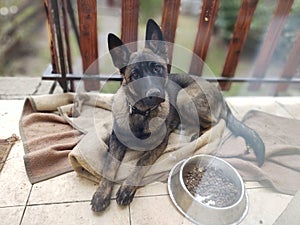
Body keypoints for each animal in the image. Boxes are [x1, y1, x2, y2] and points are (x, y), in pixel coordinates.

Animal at [91, 18, 264, 212]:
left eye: (157, 68)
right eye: (134, 75)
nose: (154, 94)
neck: (142, 114)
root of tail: (219, 93)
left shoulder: (158, 146)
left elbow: (141, 163)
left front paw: (127, 187)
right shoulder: (116, 141)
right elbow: (110, 166)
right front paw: (102, 193)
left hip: (184, 97)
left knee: (214, 123)